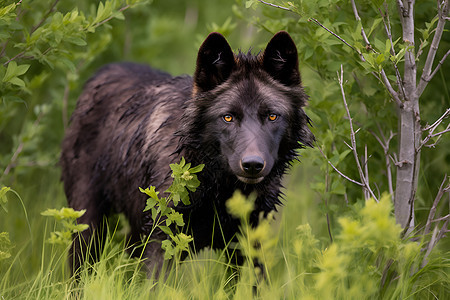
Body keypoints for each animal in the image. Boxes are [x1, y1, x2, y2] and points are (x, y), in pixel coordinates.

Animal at [59, 31, 312, 276]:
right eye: (228, 117)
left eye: (272, 116)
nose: (252, 164)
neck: (218, 188)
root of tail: (101, 73)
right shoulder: (162, 243)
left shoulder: (249, 245)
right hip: (87, 229)